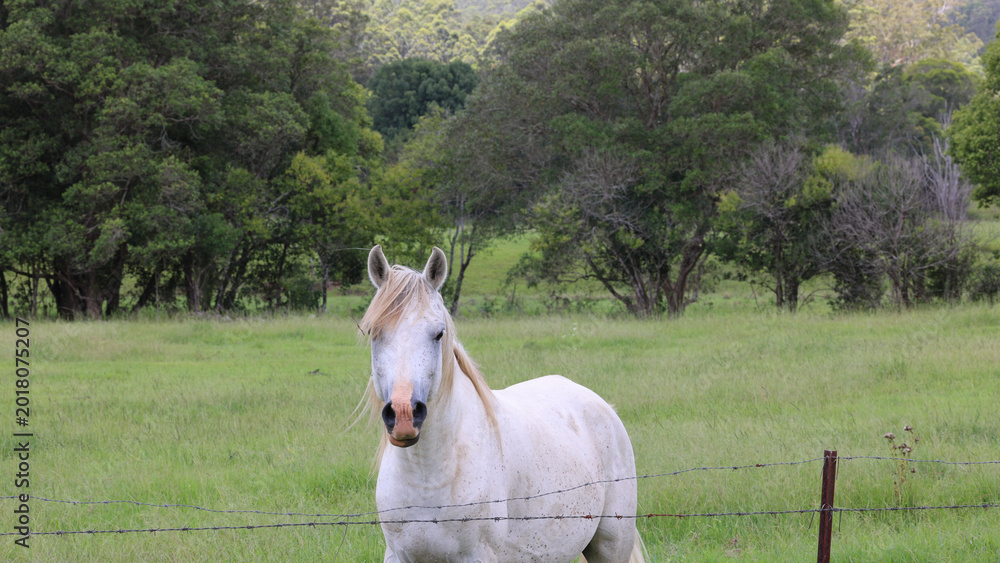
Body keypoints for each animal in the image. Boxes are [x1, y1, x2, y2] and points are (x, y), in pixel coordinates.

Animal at [359, 245, 645, 563]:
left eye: (438, 333)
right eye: (373, 332)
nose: (404, 415)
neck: (428, 476)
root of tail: (602, 405)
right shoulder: (397, 555)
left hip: (611, 545)